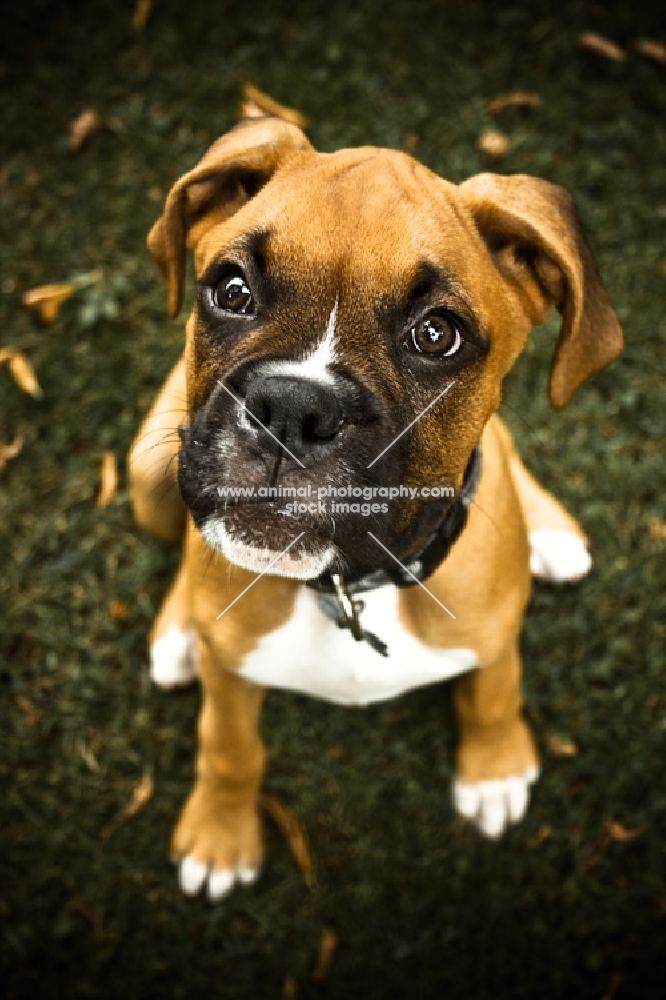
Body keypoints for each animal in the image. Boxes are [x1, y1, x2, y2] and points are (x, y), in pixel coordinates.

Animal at [131, 115, 624, 900]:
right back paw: (180, 633)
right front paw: (220, 832)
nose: (290, 407)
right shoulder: (232, 688)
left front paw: (494, 766)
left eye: (437, 334)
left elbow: (495, 688)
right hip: (146, 469)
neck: (350, 585)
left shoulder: (493, 629)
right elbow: (229, 749)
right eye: (232, 290)